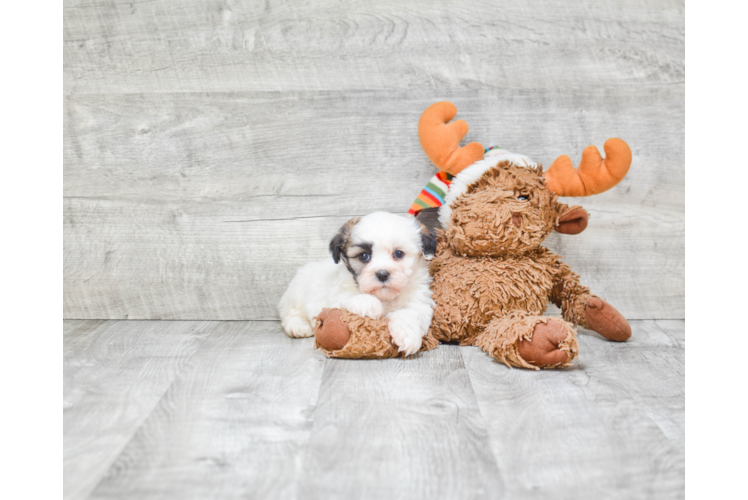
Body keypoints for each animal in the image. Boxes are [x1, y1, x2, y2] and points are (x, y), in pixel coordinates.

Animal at [278, 211, 436, 356]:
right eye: (364, 256)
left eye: (398, 253)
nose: (382, 274)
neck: (385, 298)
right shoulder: (335, 297)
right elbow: (349, 298)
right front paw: (369, 304)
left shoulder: (419, 302)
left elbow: (411, 313)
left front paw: (408, 336)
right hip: (296, 294)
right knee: (290, 315)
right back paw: (299, 327)